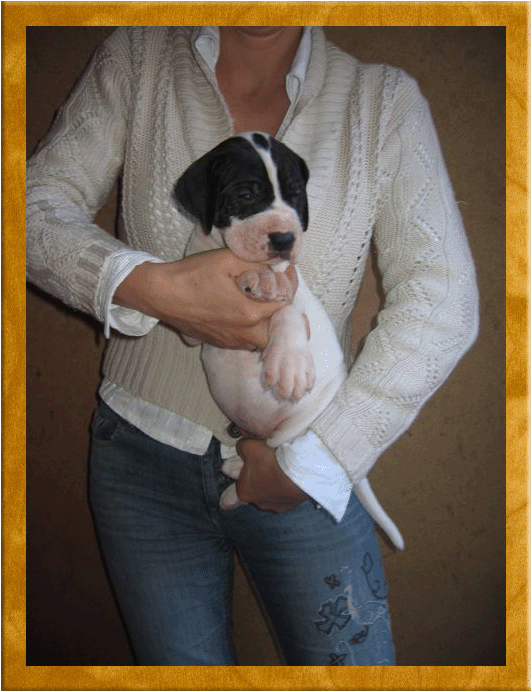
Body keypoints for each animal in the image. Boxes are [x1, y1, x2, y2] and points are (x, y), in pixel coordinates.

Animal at [174, 132, 404, 550]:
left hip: (298, 426)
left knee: (272, 456)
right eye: (245, 193)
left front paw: (289, 361)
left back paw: (236, 477)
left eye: (296, 194)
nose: (284, 238)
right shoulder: (190, 324)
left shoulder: (292, 290)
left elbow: (289, 309)